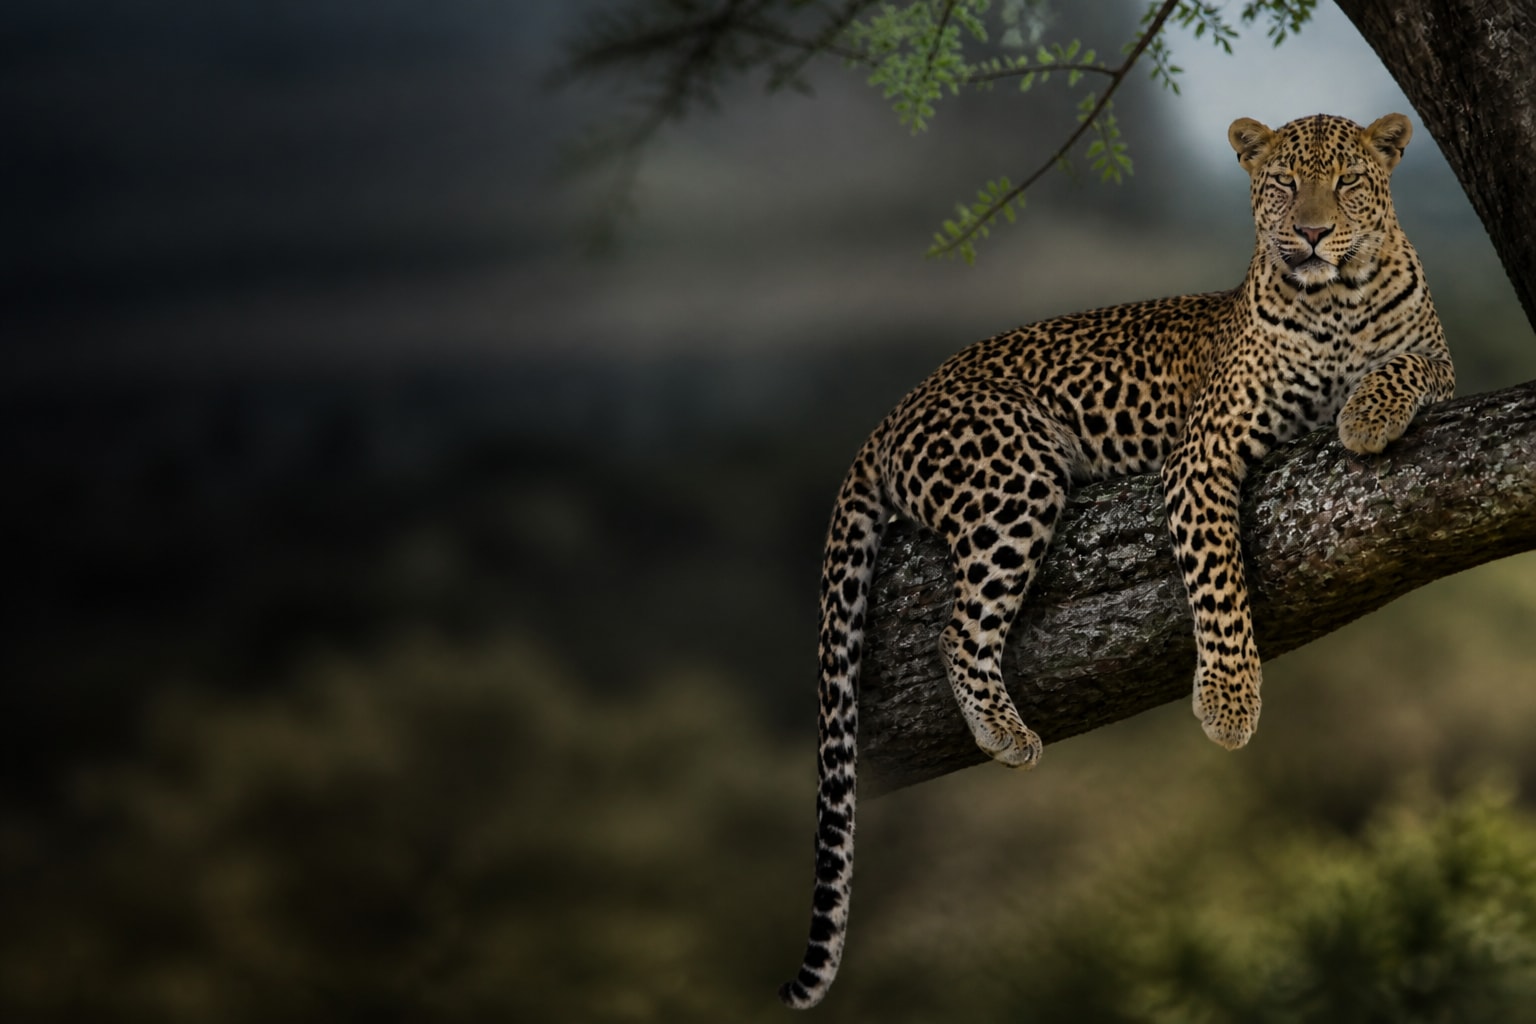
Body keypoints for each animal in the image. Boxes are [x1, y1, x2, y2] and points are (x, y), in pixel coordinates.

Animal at [780, 112, 1455, 1009]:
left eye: (1347, 181)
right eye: (1282, 183)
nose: (1309, 233)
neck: (1337, 300)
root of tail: (893, 413)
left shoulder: (1442, 369)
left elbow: (1409, 366)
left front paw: (1368, 415)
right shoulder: (1202, 455)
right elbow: (1219, 589)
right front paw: (1230, 706)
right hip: (1014, 473)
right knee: (958, 629)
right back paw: (1006, 734)